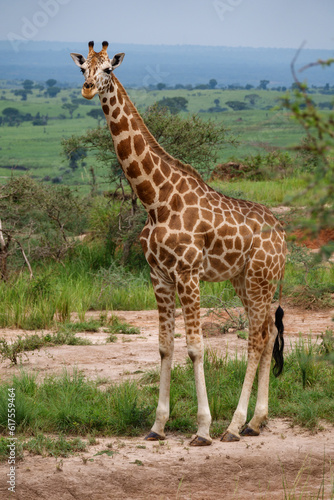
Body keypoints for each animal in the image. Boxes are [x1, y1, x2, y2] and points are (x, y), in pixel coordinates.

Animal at [71, 40, 288, 446]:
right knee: (267, 335)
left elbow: (195, 348)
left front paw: (202, 429)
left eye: (108, 68)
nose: (88, 89)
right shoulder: (158, 276)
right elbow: (164, 347)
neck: (155, 199)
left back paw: (233, 426)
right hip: (246, 281)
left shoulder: (188, 274)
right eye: (82, 69)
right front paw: (157, 426)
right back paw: (256, 421)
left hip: (260, 279)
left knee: (256, 339)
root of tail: (284, 237)